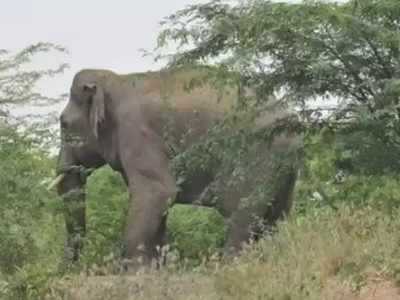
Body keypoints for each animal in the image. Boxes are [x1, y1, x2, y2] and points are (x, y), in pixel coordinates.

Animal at [53, 67, 302, 264]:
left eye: (63, 124)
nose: (72, 268)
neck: (114, 80)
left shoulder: (138, 135)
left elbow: (157, 192)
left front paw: (136, 273)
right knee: (274, 220)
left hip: (255, 157)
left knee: (241, 216)